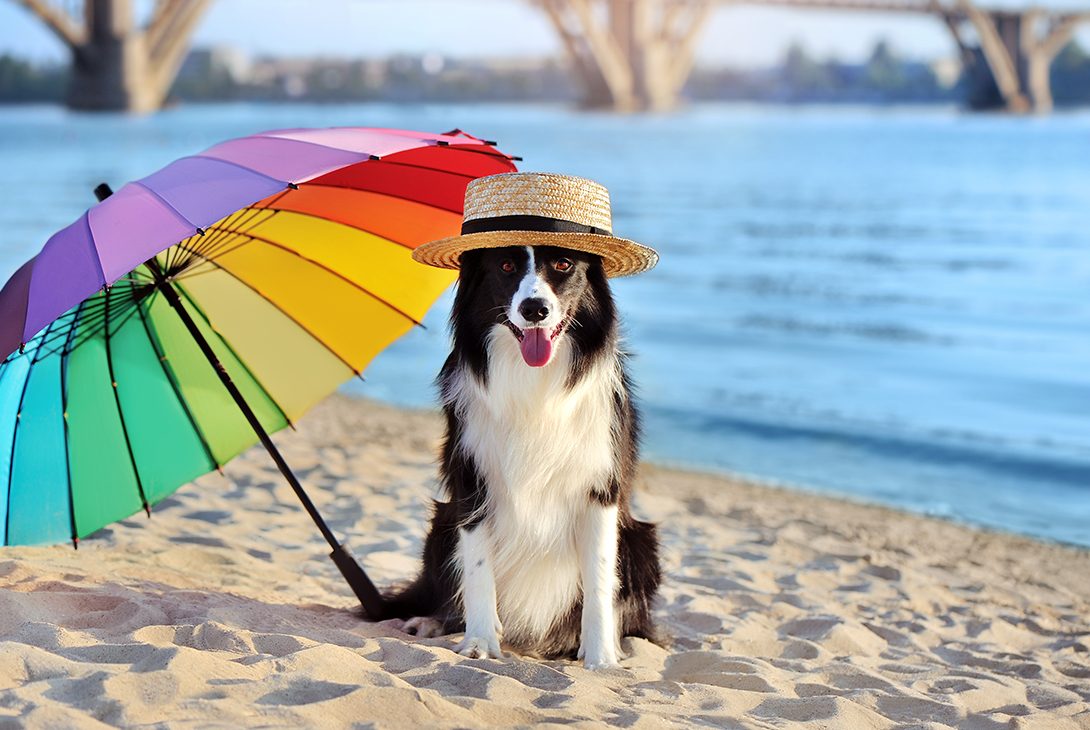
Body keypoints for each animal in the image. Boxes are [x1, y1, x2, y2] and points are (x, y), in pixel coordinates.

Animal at [388, 244, 658, 671]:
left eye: (563, 264)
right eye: (506, 265)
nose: (535, 309)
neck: (533, 381)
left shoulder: (600, 491)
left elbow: (599, 578)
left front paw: (601, 657)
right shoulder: (473, 482)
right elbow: (478, 568)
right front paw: (479, 642)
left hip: (641, 543)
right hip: (441, 524)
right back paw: (431, 622)